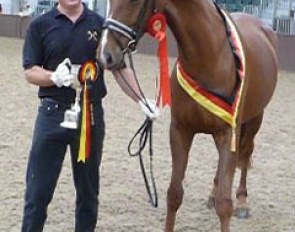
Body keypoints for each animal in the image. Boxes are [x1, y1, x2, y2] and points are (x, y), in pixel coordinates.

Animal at [97, 0, 280, 232]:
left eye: (134, 2)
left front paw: (231, 203)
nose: (105, 55)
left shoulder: (229, 132)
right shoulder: (180, 131)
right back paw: (213, 193)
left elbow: (224, 205)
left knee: (245, 155)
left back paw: (242, 201)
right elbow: (174, 194)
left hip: (254, 119)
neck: (209, 58)